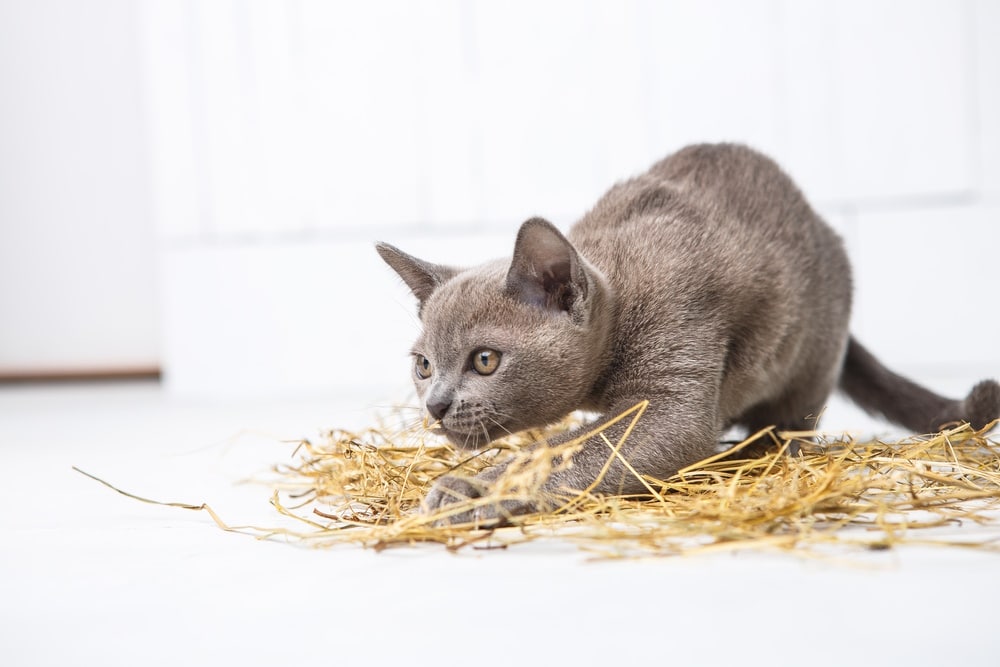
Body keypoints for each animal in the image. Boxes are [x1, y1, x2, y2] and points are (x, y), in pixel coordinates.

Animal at [376, 144, 1000, 524]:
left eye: (484, 360)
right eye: (423, 365)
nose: (435, 405)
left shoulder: (672, 392)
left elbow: (568, 451)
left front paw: (470, 490)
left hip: (811, 352)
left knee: (791, 425)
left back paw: (751, 451)